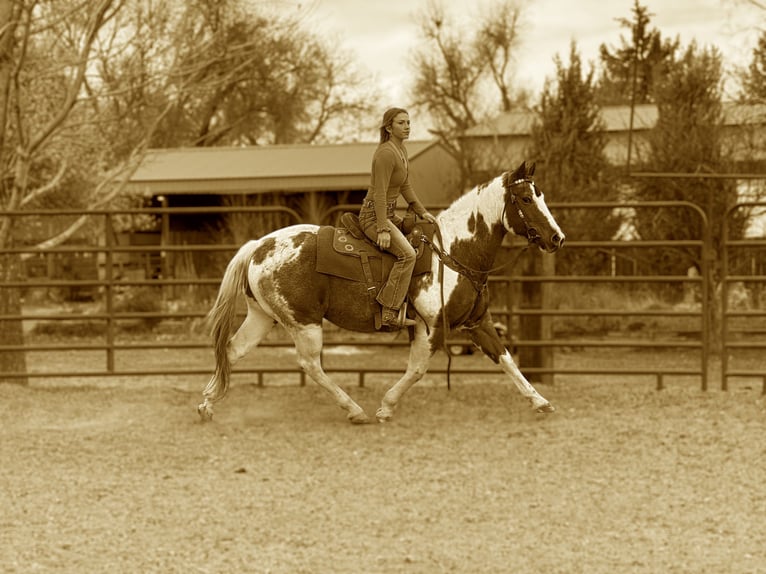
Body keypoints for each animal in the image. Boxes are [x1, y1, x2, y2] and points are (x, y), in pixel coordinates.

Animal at [198, 161, 565, 424]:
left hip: (262, 317)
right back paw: (354, 409)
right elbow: (417, 370)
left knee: (232, 350)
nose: (557, 238)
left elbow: (506, 359)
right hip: (304, 323)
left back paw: (207, 403)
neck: (453, 252)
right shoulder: (429, 328)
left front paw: (541, 402)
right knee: (310, 364)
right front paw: (386, 407)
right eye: (527, 198)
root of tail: (259, 246)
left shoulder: (478, 323)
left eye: (542, 196)